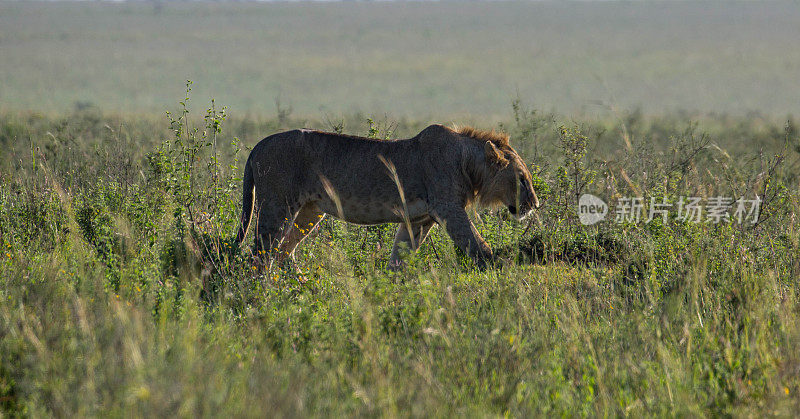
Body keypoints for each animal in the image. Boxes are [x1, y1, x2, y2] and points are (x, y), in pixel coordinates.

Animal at [234, 123, 540, 270]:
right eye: (521, 178)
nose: (535, 205)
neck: (466, 162)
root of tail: (258, 145)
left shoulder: (418, 220)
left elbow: (398, 260)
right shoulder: (448, 209)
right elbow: (479, 248)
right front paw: (502, 275)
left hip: (309, 211)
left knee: (283, 253)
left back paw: (301, 286)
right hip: (277, 206)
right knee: (259, 256)